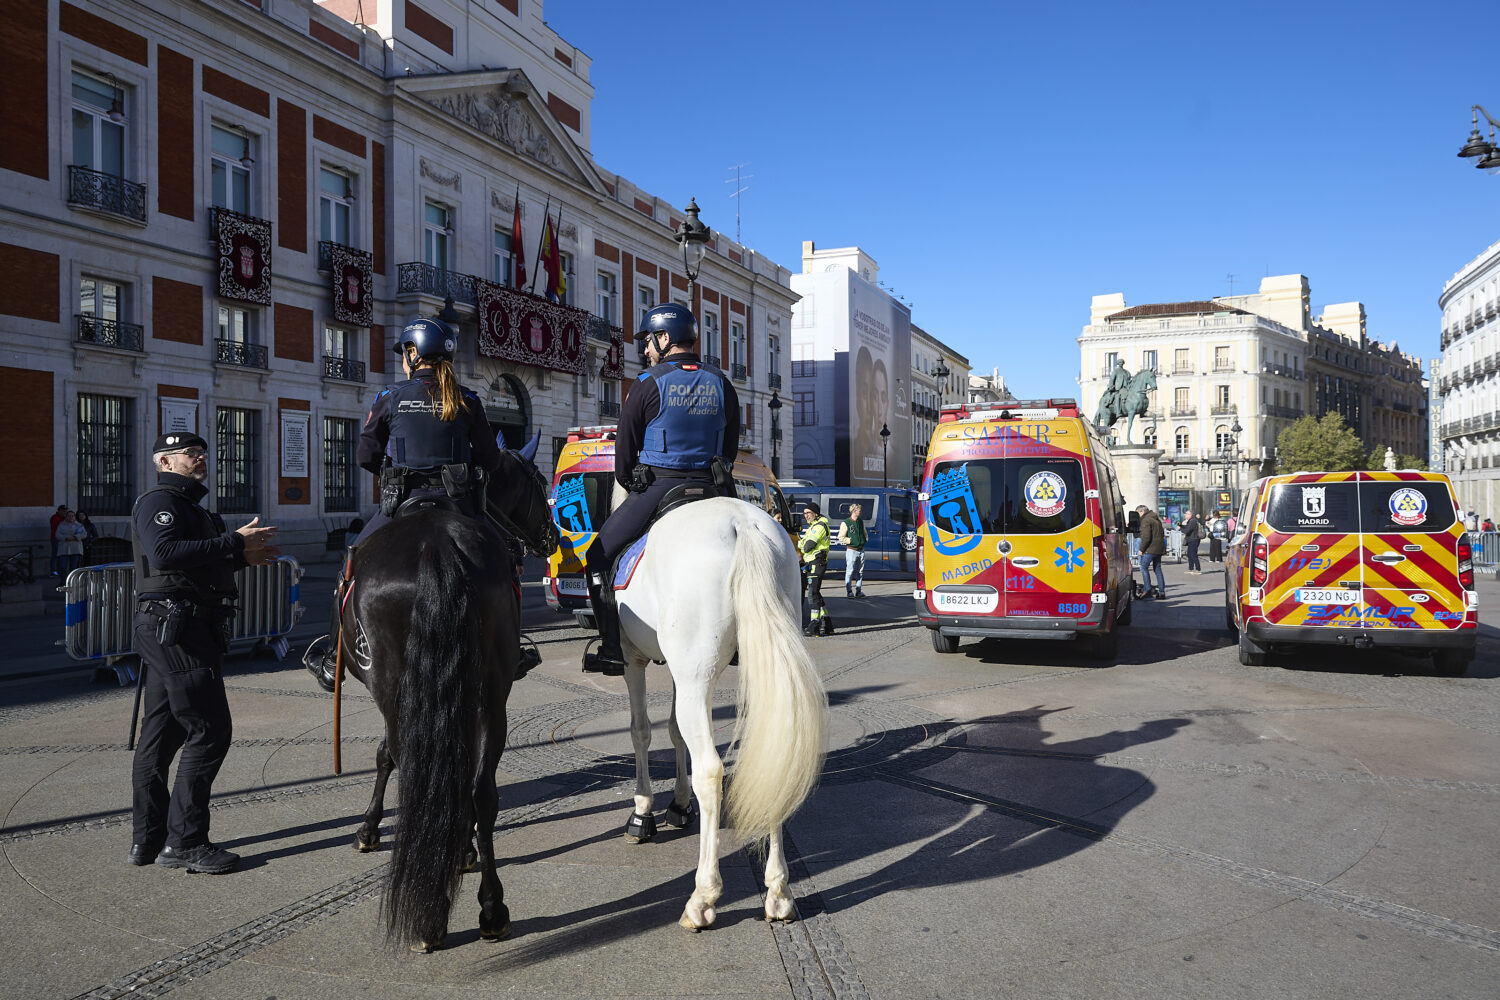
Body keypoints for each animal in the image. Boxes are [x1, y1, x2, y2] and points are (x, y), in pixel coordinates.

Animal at [337, 448, 556, 952]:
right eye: (539, 482)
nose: (553, 537)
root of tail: (435, 549)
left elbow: (384, 755)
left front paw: (369, 829)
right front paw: (461, 850)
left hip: (403, 690)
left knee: (417, 769)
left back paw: (442, 916)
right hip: (490, 696)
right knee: (481, 791)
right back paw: (487, 910)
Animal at [602, 495, 829, 930]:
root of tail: (742, 524)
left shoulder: (632, 659)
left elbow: (641, 731)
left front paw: (643, 811)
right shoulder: (675, 673)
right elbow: (674, 732)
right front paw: (678, 804)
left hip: (696, 676)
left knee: (710, 770)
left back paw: (702, 897)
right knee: (774, 753)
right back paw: (778, 892)